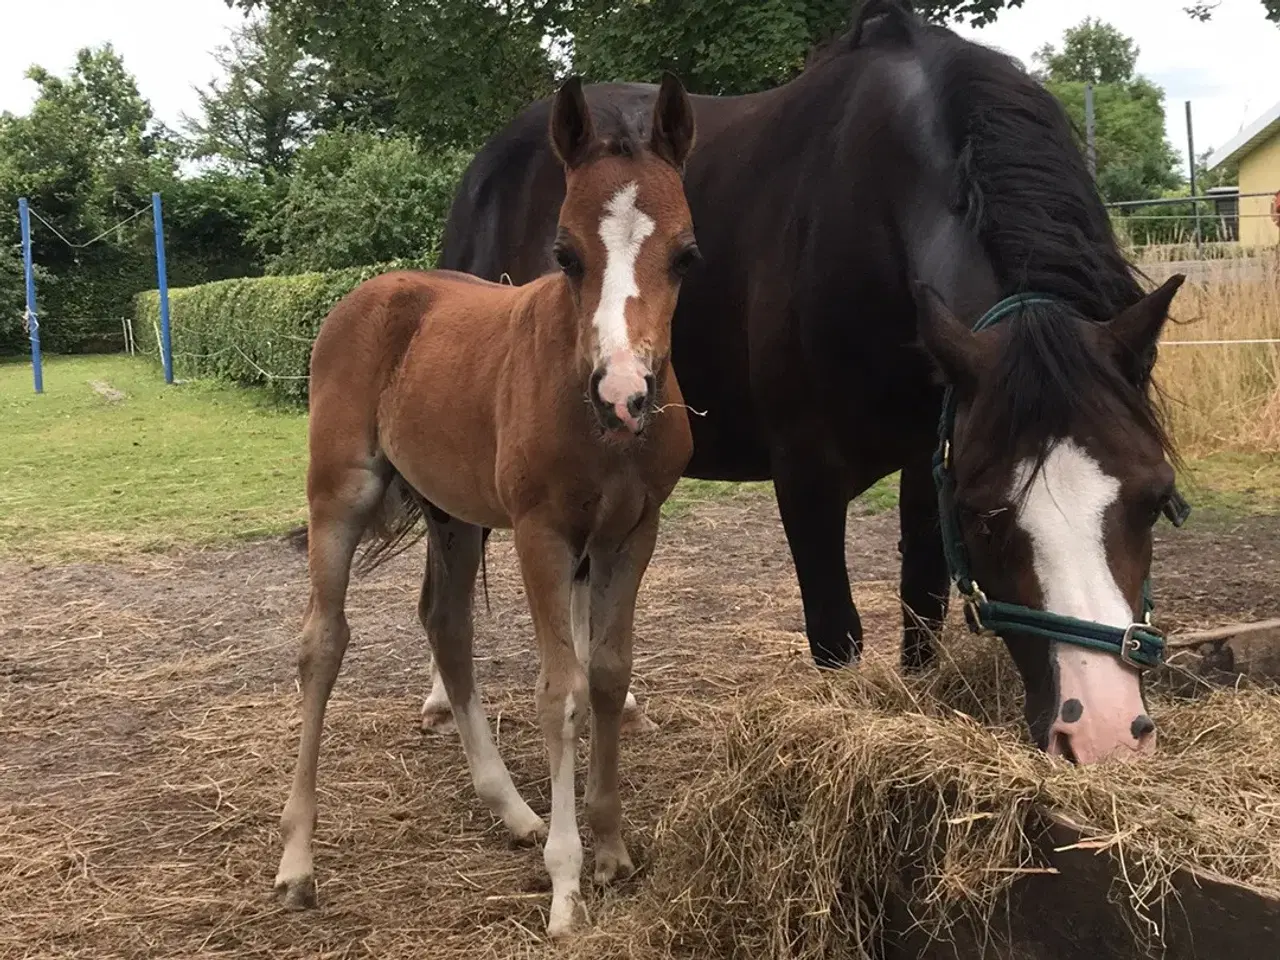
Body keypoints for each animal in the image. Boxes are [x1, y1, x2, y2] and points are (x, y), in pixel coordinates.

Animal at [275, 73, 701, 942]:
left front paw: (611, 850)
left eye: (686, 254)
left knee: (446, 624)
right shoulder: (544, 534)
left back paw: (512, 811)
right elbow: (560, 691)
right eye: (564, 254)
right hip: (340, 493)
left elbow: (608, 676)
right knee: (322, 643)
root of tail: (373, 289)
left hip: (454, 512)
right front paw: (567, 886)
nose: (623, 394)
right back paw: (297, 861)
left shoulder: (632, 533)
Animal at [435, 1, 1182, 768]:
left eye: (1156, 499)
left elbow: (922, 610)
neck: (875, 214)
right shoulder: (807, 479)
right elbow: (835, 634)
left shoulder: (931, 460)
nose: (1103, 732)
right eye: (987, 516)